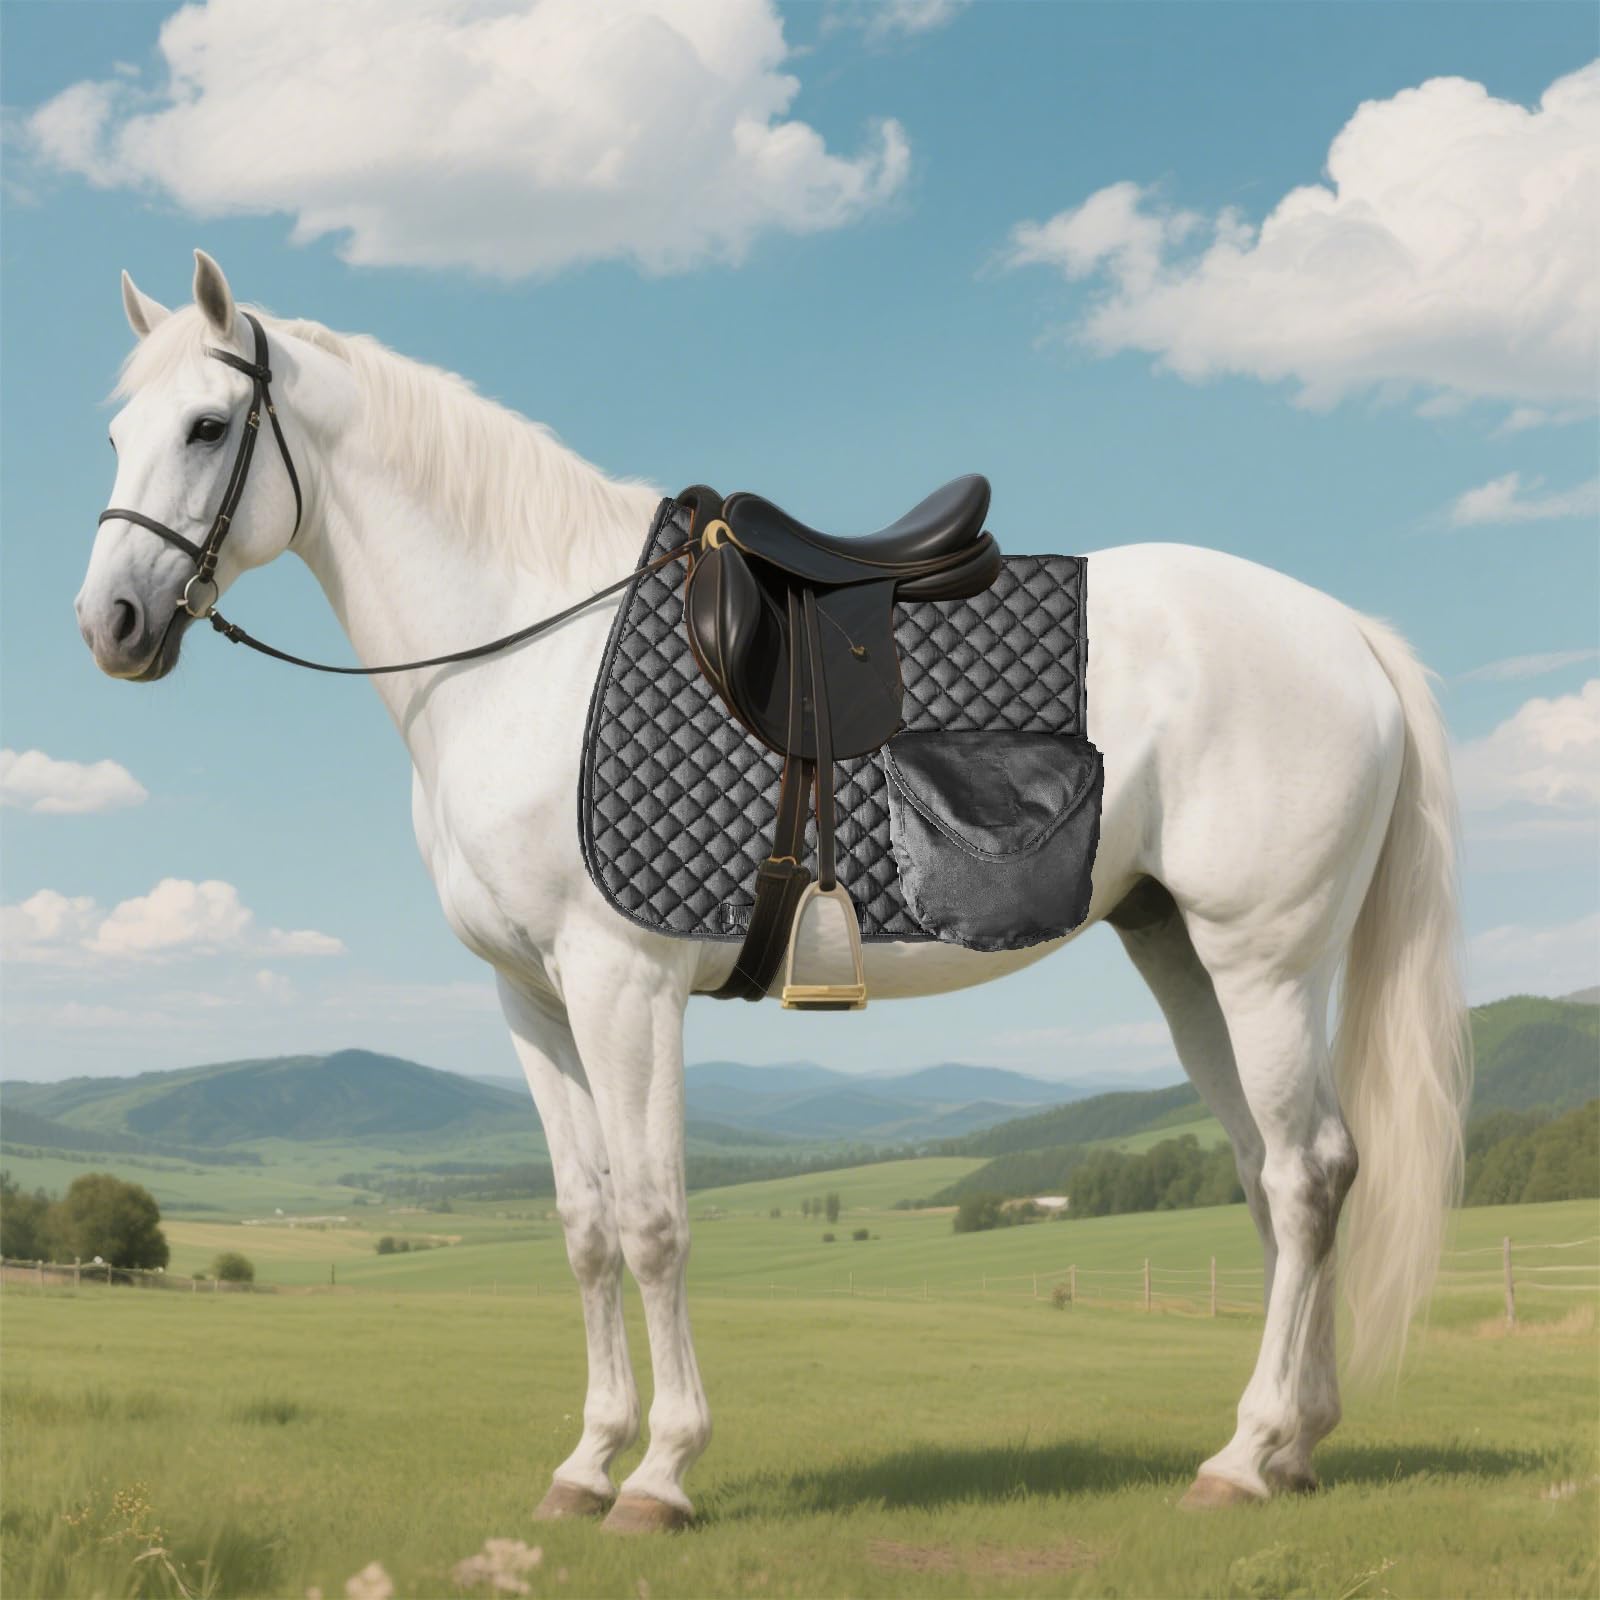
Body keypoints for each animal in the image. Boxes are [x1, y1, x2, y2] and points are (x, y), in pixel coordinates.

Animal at [76, 251, 1469, 1531]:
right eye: (117, 433)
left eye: (208, 428)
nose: (112, 625)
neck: (526, 652)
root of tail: (1343, 632)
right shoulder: (532, 998)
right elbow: (584, 1227)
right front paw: (586, 1462)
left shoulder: (622, 983)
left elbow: (653, 1221)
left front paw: (661, 1473)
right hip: (1179, 951)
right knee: (1271, 1172)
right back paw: (1292, 1444)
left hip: (1262, 957)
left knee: (1308, 1173)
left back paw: (1245, 1452)